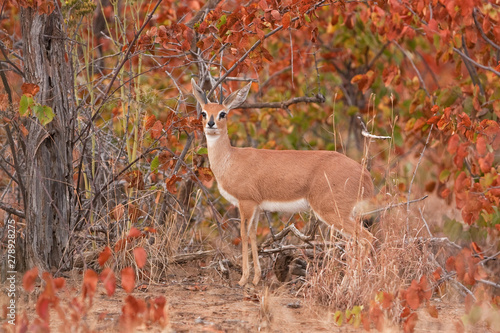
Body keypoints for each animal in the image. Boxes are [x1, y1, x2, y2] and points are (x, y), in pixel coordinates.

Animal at [193, 78, 374, 286]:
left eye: (223, 113)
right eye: (204, 112)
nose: (211, 123)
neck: (230, 159)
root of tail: (366, 176)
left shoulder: (246, 202)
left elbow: (243, 235)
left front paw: (243, 280)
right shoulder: (257, 206)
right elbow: (253, 235)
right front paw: (256, 278)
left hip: (332, 212)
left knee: (366, 238)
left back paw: (348, 285)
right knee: (355, 242)